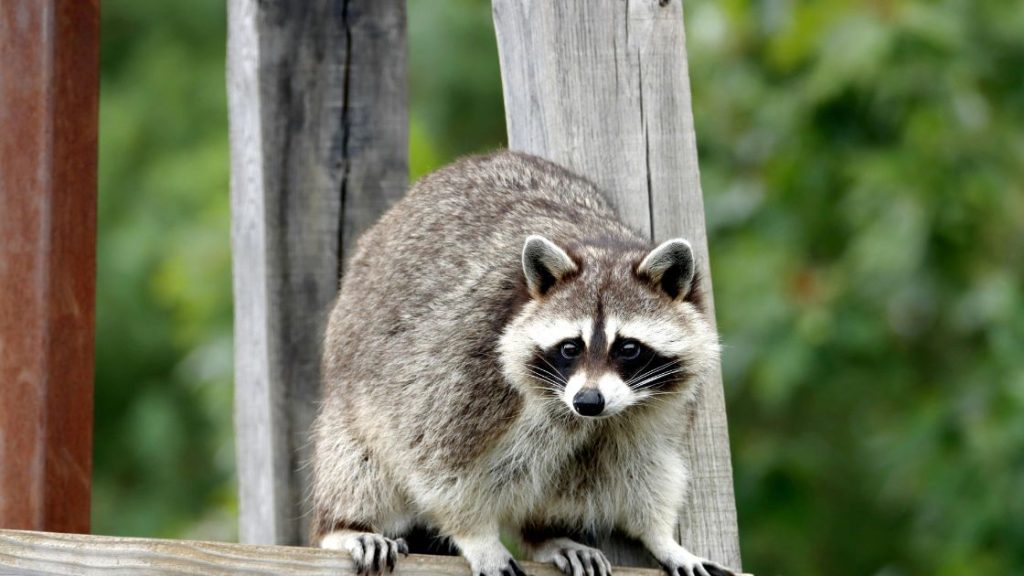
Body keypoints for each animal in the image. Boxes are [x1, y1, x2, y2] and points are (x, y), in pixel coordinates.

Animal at [311, 151, 734, 576]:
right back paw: (344, 525)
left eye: (628, 348)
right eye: (570, 348)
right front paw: (476, 535)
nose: (588, 402)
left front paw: (660, 536)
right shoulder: (466, 369)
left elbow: (648, 466)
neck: (600, 246)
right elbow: (437, 464)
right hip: (352, 399)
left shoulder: (652, 410)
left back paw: (547, 535)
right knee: (358, 464)